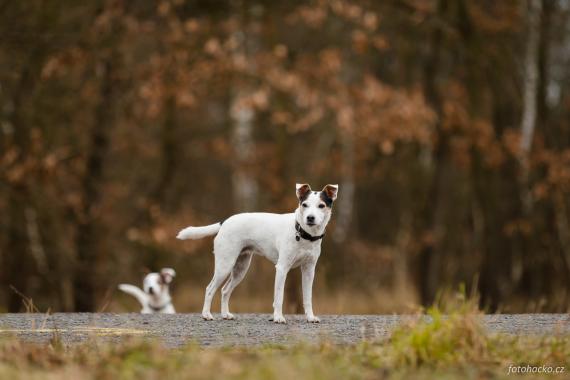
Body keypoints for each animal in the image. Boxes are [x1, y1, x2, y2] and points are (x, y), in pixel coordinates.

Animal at [178, 184, 336, 324]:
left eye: (321, 205)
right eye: (304, 204)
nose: (310, 218)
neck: (303, 233)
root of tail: (225, 222)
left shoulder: (309, 270)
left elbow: (307, 298)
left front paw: (310, 317)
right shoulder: (282, 268)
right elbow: (279, 297)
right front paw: (278, 317)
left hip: (240, 269)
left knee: (225, 290)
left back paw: (225, 315)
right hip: (225, 266)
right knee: (210, 289)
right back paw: (206, 315)